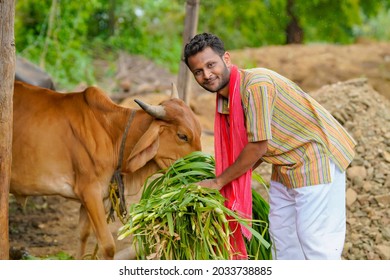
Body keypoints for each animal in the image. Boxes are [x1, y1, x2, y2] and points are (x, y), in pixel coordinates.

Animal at [10, 80, 203, 258]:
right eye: (182, 136)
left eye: (200, 131)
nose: (202, 172)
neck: (112, 135)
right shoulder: (90, 191)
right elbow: (108, 246)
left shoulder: (95, 197)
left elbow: (82, 235)